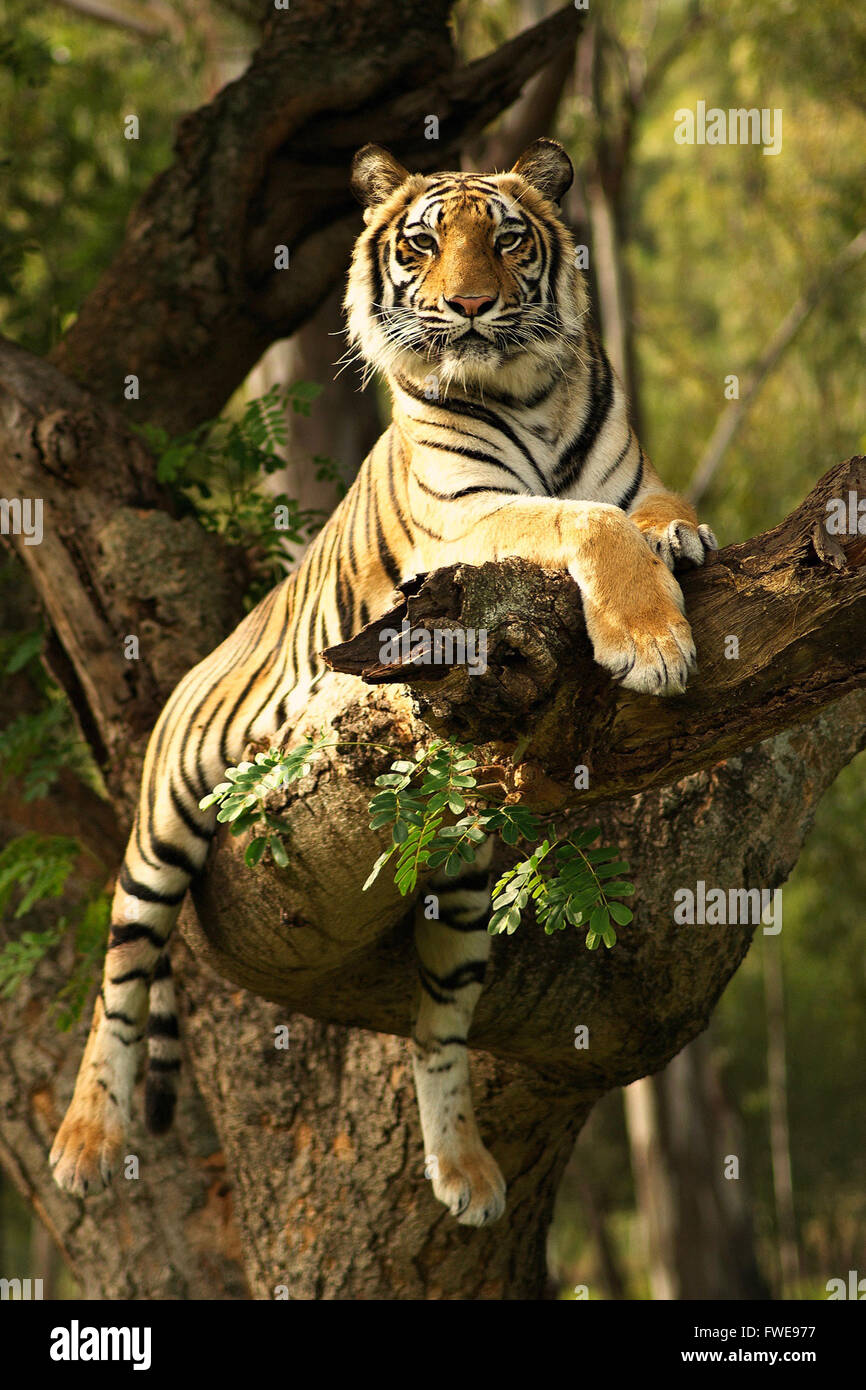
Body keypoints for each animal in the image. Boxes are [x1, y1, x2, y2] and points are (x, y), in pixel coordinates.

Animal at [52, 138, 717, 1228]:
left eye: (506, 240)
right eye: (420, 243)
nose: (469, 307)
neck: (529, 394)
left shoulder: (630, 474)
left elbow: (649, 506)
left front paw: (684, 540)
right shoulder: (472, 515)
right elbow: (583, 518)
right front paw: (651, 641)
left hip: (463, 890)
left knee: (436, 1030)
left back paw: (463, 1171)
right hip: (157, 835)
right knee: (121, 978)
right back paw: (83, 1143)